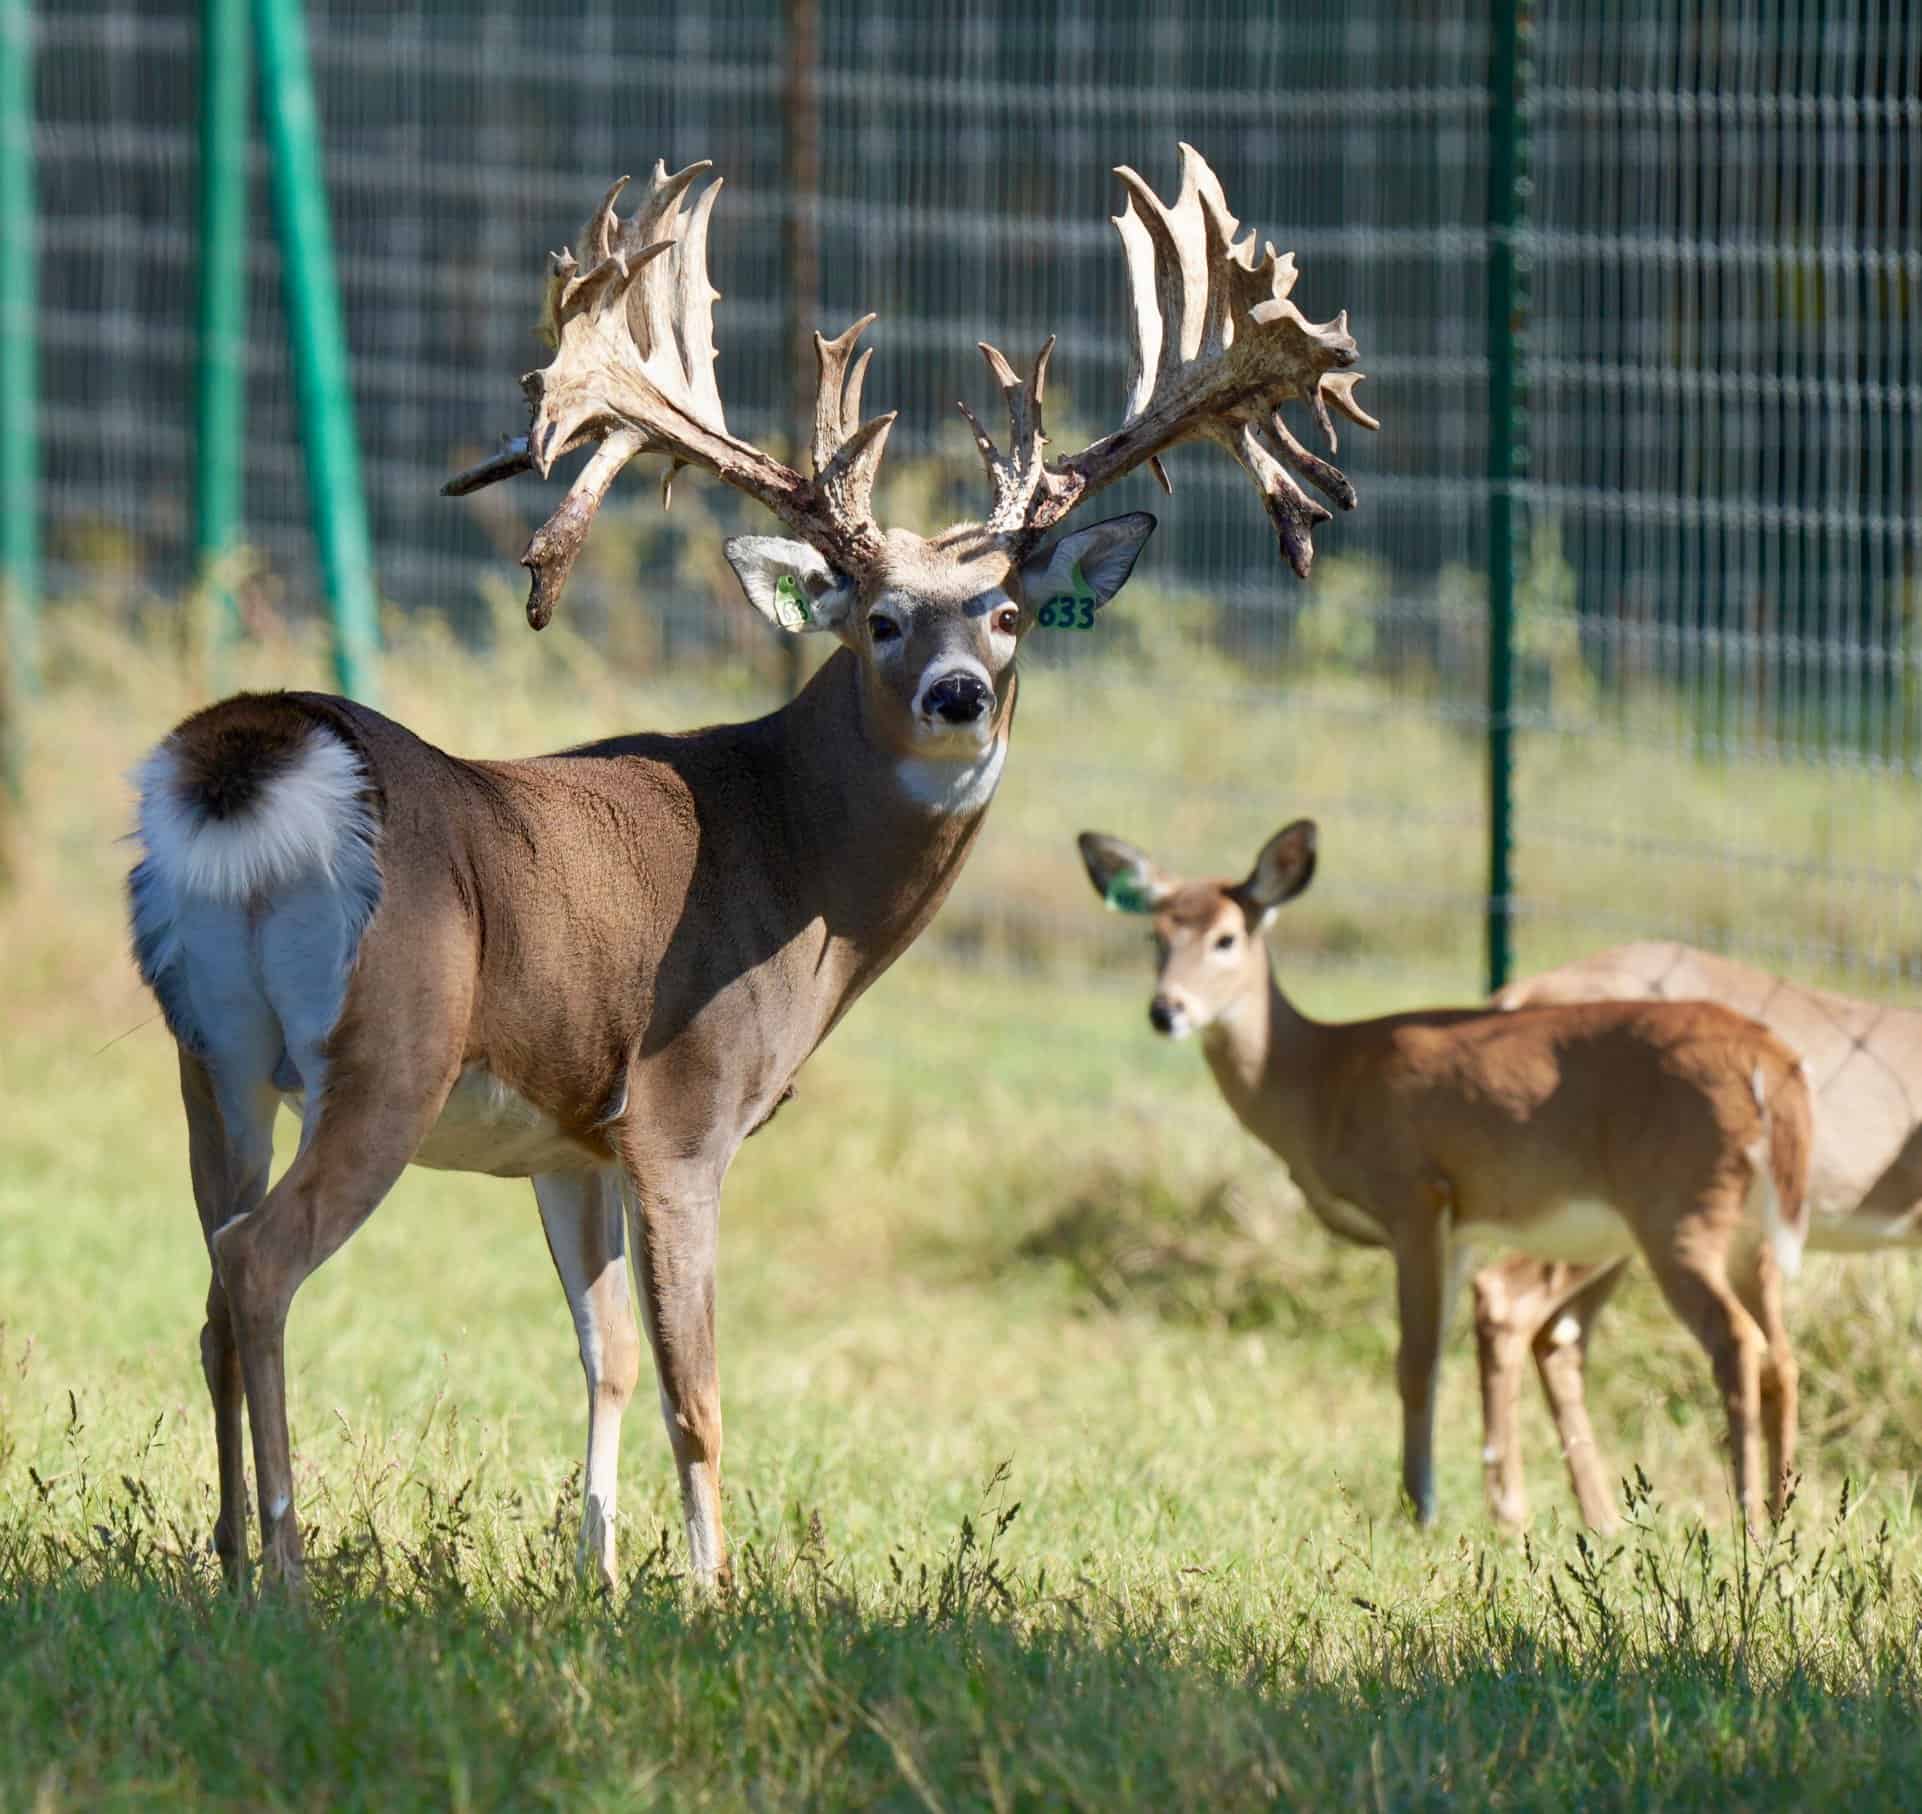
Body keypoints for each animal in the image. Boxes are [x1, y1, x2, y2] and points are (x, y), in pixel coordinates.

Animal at [126, 146, 1380, 1593]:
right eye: (878, 618)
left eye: (1009, 613)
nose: (958, 695)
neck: (792, 862)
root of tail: (247, 749)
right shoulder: (681, 1106)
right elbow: (698, 1385)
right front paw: (709, 1588)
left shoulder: (572, 1136)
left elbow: (606, 1356)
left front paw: (600, 1576)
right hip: (389, 1046)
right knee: (262, 1264)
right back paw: (282, 1563)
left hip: (208, 1053)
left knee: (212, 1278)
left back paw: (224, 1553)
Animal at [1075, 821, 1815, 1530]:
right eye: (1154, 935)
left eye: (1227, 938)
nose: (1166, 1010)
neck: (1323, 1078)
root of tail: (1771, 1064)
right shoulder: (1458, 1226)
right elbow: (1433, 1359)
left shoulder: (1414, 1193)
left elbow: (1414, 1360)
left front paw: (1420, 1506)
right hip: (1750, 1232)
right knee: (1781, 1351)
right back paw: (1783, 1517)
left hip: (1679, 1208)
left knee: (1736, 1339)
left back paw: (1747, 1521)